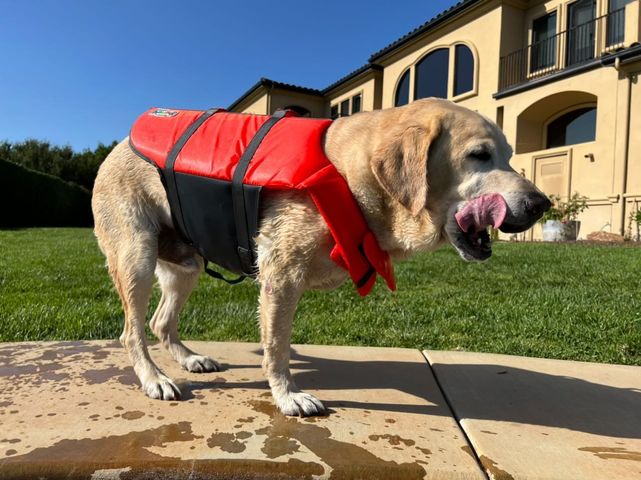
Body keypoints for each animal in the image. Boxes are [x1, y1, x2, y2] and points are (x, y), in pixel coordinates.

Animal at [91, 98, 552, 416]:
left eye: (509, 155)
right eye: (479, 155)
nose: (542, 203)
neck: (348, 177)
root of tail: (118, 145)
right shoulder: (281, 277)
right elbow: (277, 348)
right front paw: (288, 396)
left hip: (186, 265)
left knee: (159, 321)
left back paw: (189, 358)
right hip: (137, 256)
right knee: (132, 331)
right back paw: (154, 378)